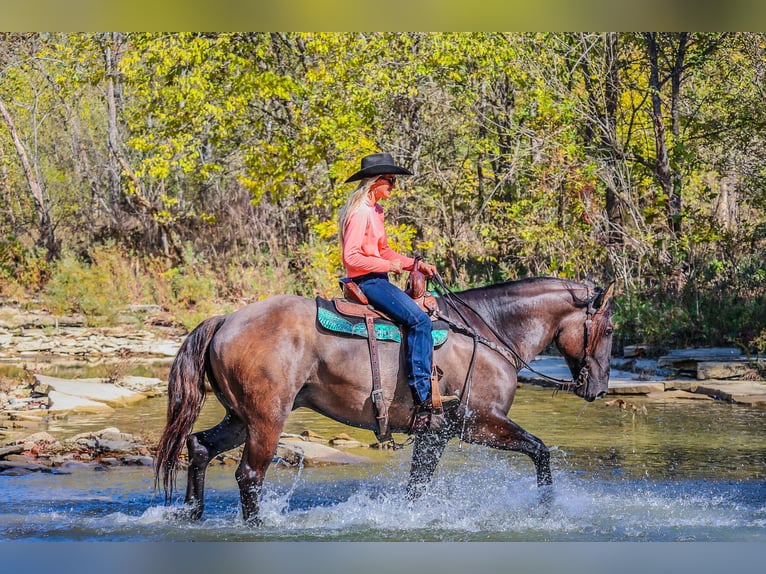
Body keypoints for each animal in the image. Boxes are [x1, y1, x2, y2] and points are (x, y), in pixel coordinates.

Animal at [156, 276, 616, 528]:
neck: (488, 331)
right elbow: (540, 451)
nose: (599, 387)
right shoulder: (480, 423)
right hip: (267, 419)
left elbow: (417, 487)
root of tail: (226, 320)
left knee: (199, 447)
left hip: (240, 417)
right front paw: (546, 508)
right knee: (250, 475)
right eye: (610, 329)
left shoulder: (436, 434)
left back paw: (193, 514)